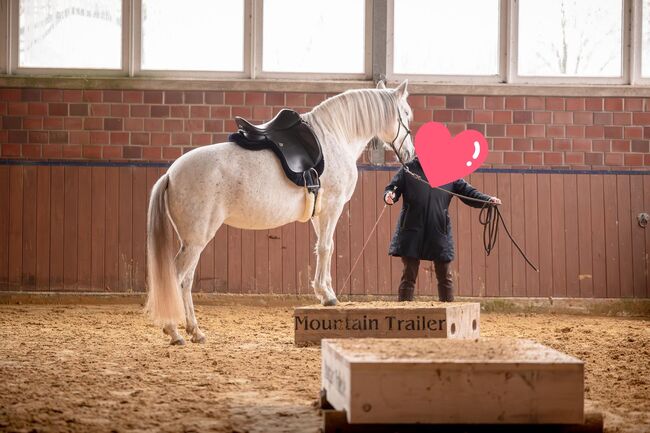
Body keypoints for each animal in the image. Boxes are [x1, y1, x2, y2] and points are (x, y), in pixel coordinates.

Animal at [146, 80, 415, 345]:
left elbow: (322, 248)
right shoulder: (333, 206)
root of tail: (170, 174)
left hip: (192, 242)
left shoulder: (319, 213)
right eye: (406, 114)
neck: (335, 137)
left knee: (186, 281)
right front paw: (327, 296)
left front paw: (324, 291)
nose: (411, 154)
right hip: (195, 240)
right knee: (176, 278)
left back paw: (194, 331)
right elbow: (327, 248)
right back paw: (175, 331)